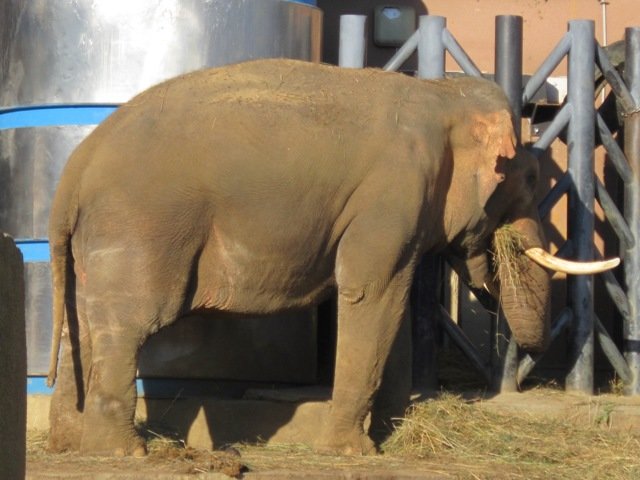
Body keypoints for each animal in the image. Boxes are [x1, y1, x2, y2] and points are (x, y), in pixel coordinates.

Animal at [45, 58, 616, 456]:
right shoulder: (392, 194)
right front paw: (354, 451)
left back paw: (71, 445)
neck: (440, 95)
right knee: (130, 323)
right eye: (529, 178)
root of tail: (76, 166)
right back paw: (125, 452)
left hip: (96, 239)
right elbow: (371, 292)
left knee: (82, 325)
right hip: (143, 225)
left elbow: (395, 302)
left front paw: (391, 429)